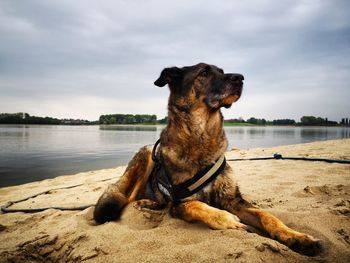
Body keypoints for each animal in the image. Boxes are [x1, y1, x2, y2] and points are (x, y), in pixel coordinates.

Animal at [94, 62, 322, 256]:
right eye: (203, 72)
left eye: (222, 71)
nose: (240, 78)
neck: (201, 137)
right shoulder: (179, 203)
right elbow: (199, 206)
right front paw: (228, 220)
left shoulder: (232, 200)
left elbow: (267, 215)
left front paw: (296, 237)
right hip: (148, 154)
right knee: (128, 198)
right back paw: (145, 203)